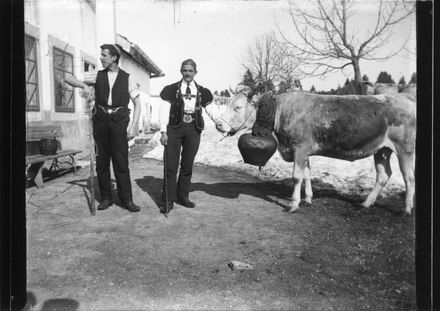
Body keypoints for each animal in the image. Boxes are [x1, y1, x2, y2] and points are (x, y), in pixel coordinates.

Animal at [216, 86, 416, 217]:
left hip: (404, 148)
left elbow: (297, 176)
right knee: (383, 175)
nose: (218, 124)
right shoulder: (303, 151)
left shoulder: (300, 147)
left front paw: (293, 204)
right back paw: (365, 203)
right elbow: (307, 174)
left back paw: (406, 210)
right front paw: (308, 199)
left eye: (238, 107)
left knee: (408, 177)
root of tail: (404, 96)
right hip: (382, 150)